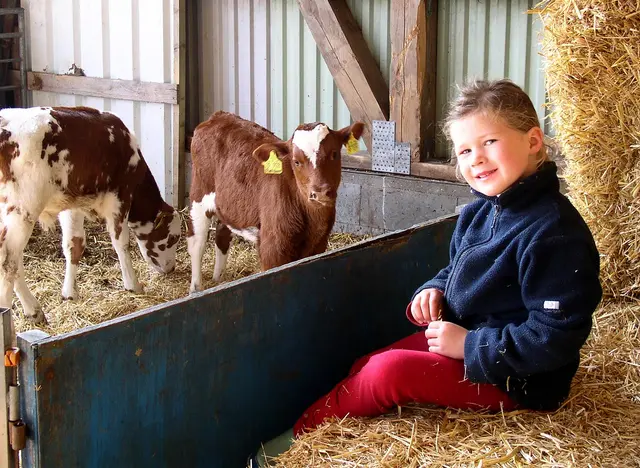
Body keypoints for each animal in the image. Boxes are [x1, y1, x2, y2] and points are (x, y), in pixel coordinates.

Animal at [0, 107, 180, 326]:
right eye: (172, 238)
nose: (171, 268)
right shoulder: (120, 196)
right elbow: (121, 243)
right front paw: (132, 284)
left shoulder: (72, 204)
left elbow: (74, 244)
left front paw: (70, 293)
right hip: (22, 208)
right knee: (8, 261)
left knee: (14, 259)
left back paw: (33, 311)